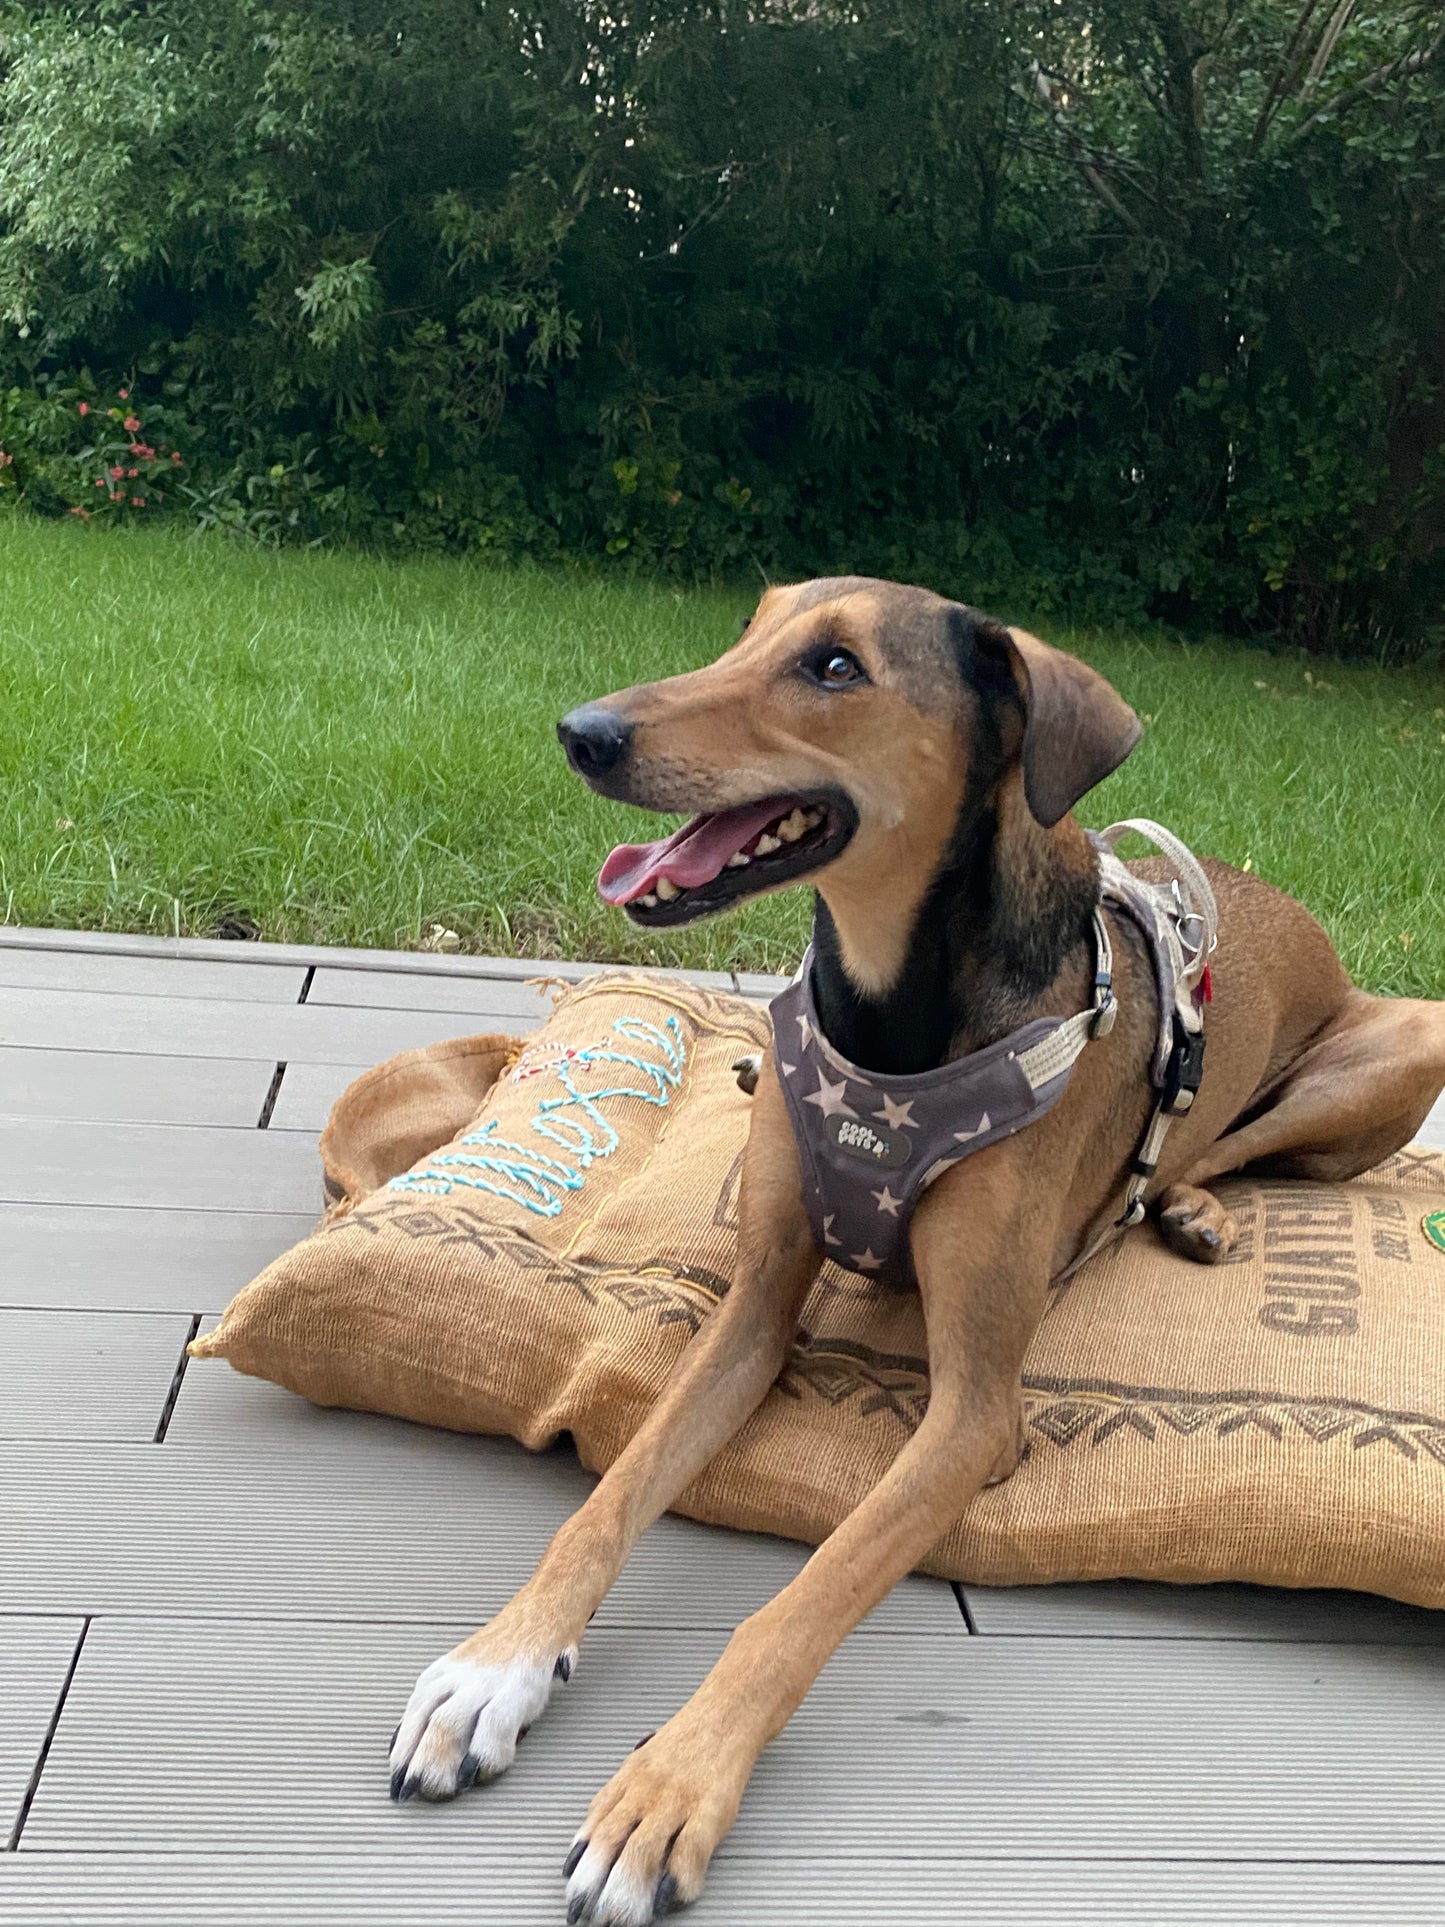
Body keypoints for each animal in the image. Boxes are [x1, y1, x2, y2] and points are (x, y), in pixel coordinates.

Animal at [387, 574, 1445, 1927]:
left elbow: (802, 1601)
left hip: (1396, 1047)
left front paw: (667, 1790)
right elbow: (608, 1500)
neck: (889, 1019)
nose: (583, 732)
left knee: (1223, 1147)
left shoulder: (972, 1418)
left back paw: (1191, 1208)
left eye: (836, 667)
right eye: (746, 628)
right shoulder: (750, 1315)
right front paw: (495, 1669)